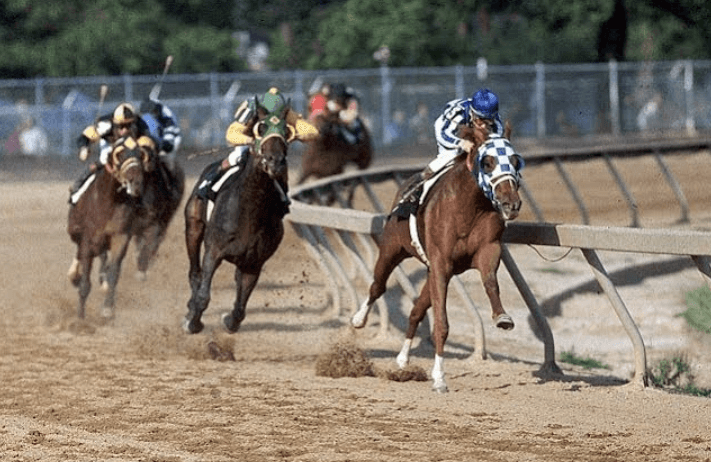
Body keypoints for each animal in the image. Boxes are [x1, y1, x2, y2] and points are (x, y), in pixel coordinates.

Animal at [67, 135, 155, 319]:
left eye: (140, 154)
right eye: (119, 154)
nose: (136, 182)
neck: (110, 201)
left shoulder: (120, 237)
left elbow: (113, 272)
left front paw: (108, 308)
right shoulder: (88, 239)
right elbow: (85, 281)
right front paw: (80, 316)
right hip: (76, 232)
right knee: (81, 253)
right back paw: (75, 276)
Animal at [182, 101, 294, 334]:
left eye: (286, 131)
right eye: (261, 128)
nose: (276, 162)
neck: (250, 210)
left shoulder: (254, 263)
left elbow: (240, 309)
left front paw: (228, 320)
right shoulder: (214, 250)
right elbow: (204, 295)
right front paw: (192, 321)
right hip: (193, 226)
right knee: (195, 272)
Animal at [350, 123, 524, 393]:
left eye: (516, 161)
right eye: (487, 162)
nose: (511, 204)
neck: (469, 206)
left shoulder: (486, 250)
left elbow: (490, 282)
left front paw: (502, 317)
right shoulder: (441, 263)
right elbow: (441, 324)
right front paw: (440, 378)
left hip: (431, 270)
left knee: (416, 310)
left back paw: (403, 358)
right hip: (391, 248)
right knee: (377, 286)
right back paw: (359, 319)